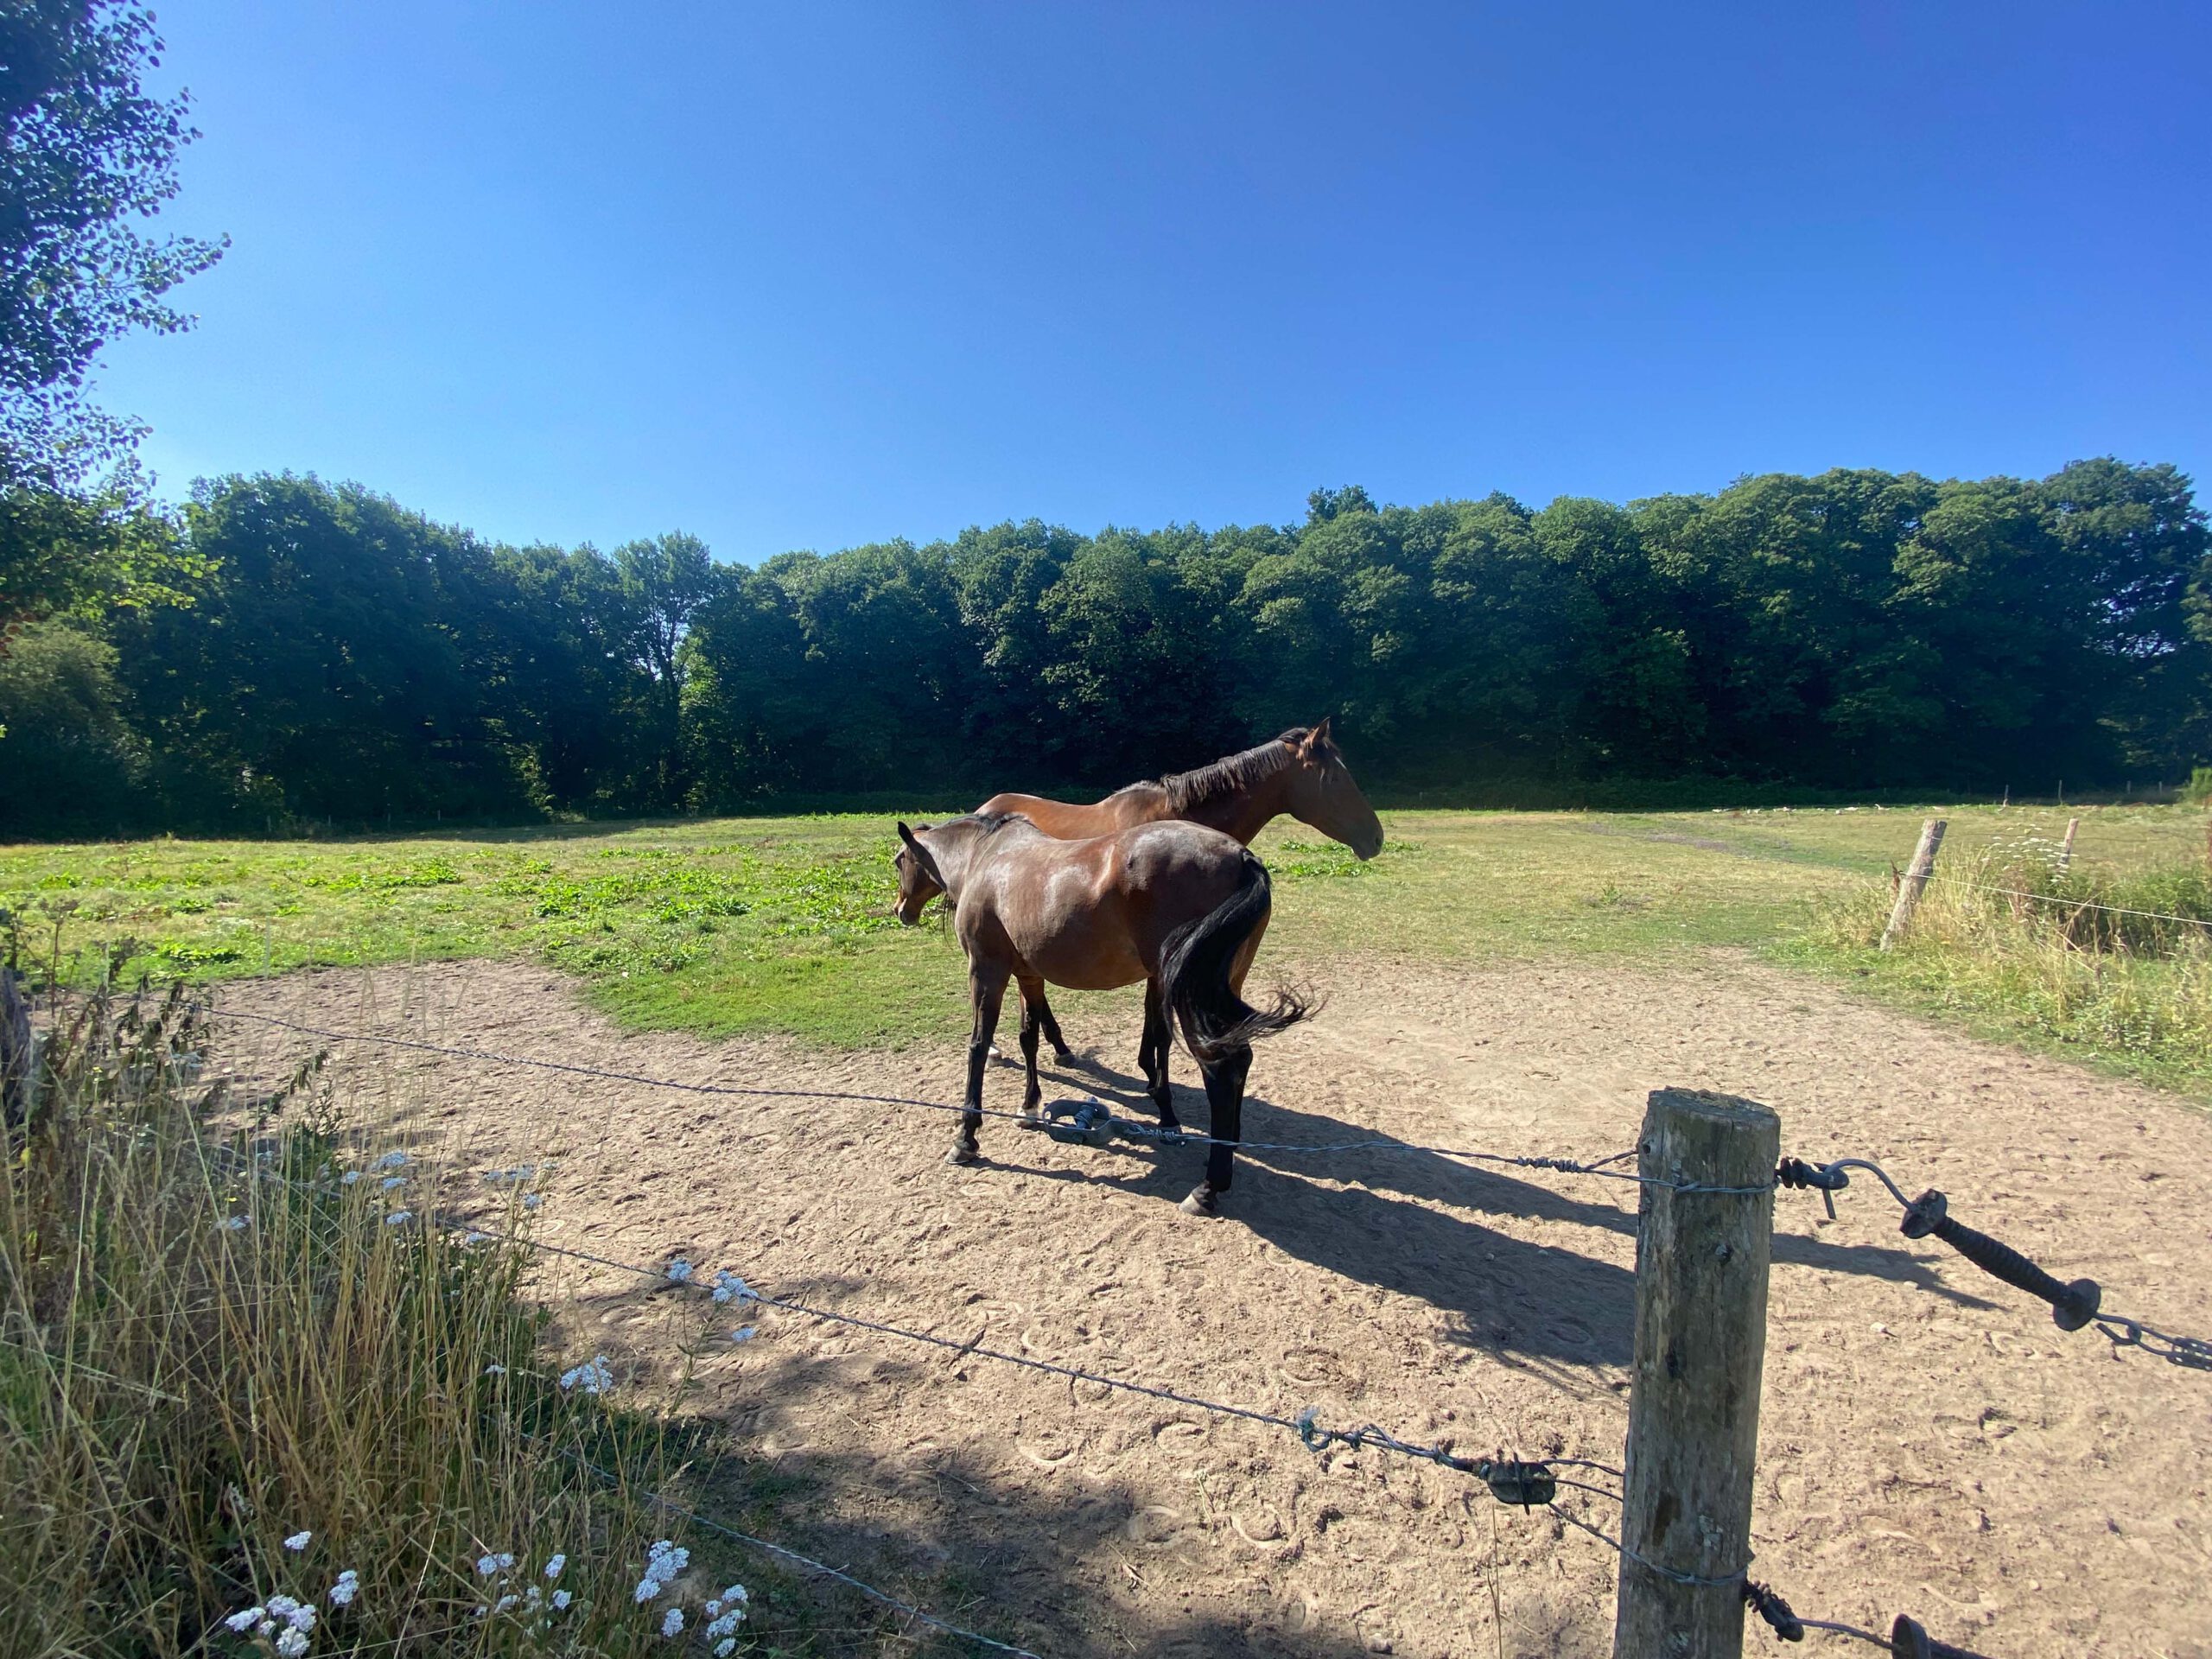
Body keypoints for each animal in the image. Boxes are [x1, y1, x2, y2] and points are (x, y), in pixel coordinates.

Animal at [893, 818, 1309, 1221]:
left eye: (899, 861)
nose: (901, 911)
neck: (987, 857)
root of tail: (1242, 858)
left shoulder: (986, 972)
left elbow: (978, 1047)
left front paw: (966, 1137)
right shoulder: (1029, 975)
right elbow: (1029, 1038)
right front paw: (1029, 1108)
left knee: (1221, 1070)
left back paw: (1207, 1188)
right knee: (1240, 1060)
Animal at [977, 721, 1371, 1110]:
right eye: (1335, 777)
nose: (1375, 836)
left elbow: (1155, 1024)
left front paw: (1151, 1075)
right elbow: (1157, 1026)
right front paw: (1155, 1081)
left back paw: (1060, 1047)